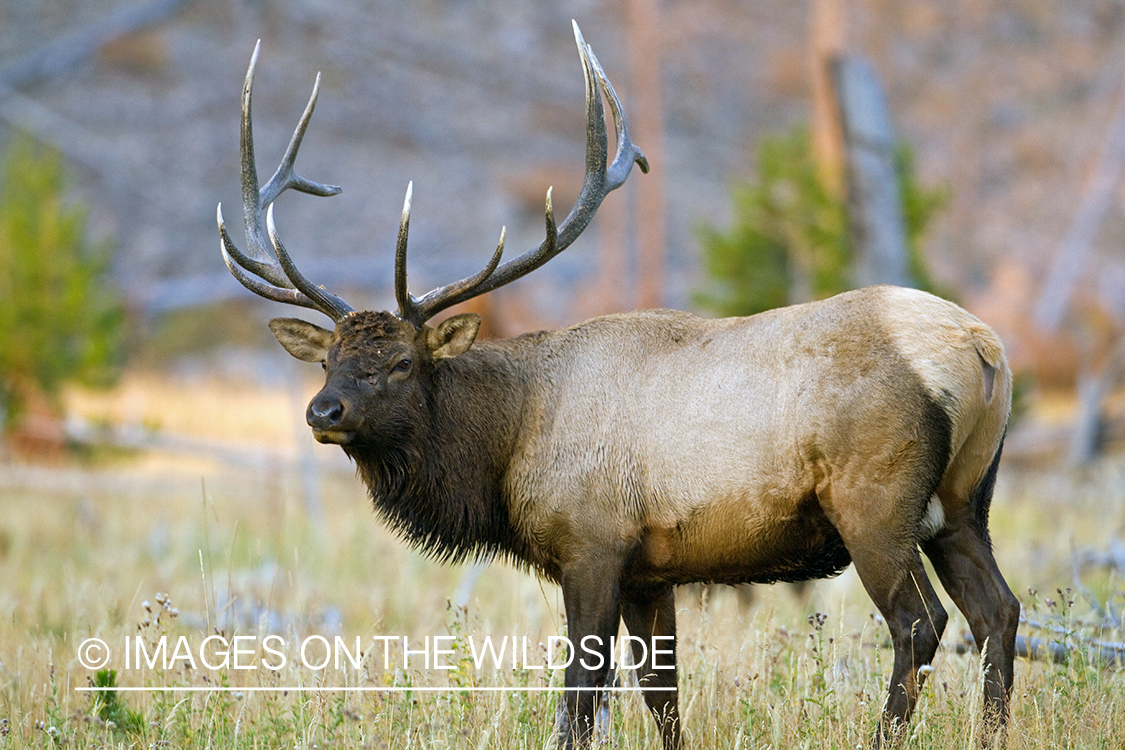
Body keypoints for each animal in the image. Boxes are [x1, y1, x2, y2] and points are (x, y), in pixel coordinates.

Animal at [214, 24, 1026, 750]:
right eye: (327, 360)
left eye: (402, 363)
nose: (323, 411)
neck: (506, 446)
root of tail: (983, 350)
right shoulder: (650, 570)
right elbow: (661, 692)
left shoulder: (593, 543)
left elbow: (581, 693)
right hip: (961, 503)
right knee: (999, 611)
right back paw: (992, 734)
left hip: (875, 501)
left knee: (920, 623)